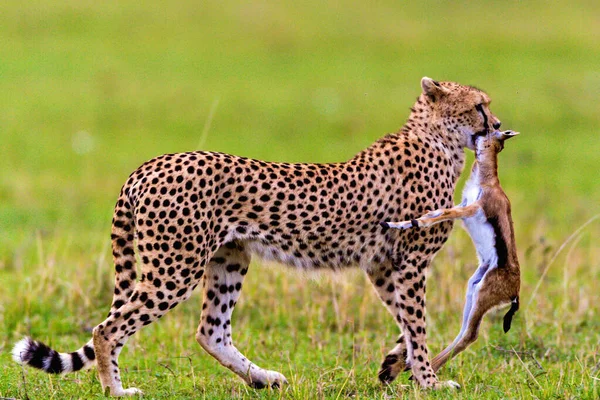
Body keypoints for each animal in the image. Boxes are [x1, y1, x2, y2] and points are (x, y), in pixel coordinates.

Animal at [11, 76, 504, 396]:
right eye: (480, 105)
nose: (499, 127)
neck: (437, 139)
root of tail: (150, 163)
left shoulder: (383, 265)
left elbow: (406, 323)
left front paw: (395, 365)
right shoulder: (409, 263)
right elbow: (418, 325)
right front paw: (430, 382)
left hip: (229, 258)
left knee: (210, 332)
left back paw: (263, 378)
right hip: (175, 268)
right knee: (107, 328)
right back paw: (116, 390)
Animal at [384, 128, 520, 372]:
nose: (477, 134)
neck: (487, 182)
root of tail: (516, 292)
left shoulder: (469, 209)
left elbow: (436, 216)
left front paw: (396, 224)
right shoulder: (463, 205)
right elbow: (435, 213)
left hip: (482, 295)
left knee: (471, 334)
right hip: (473, 289)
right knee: (464, 330)